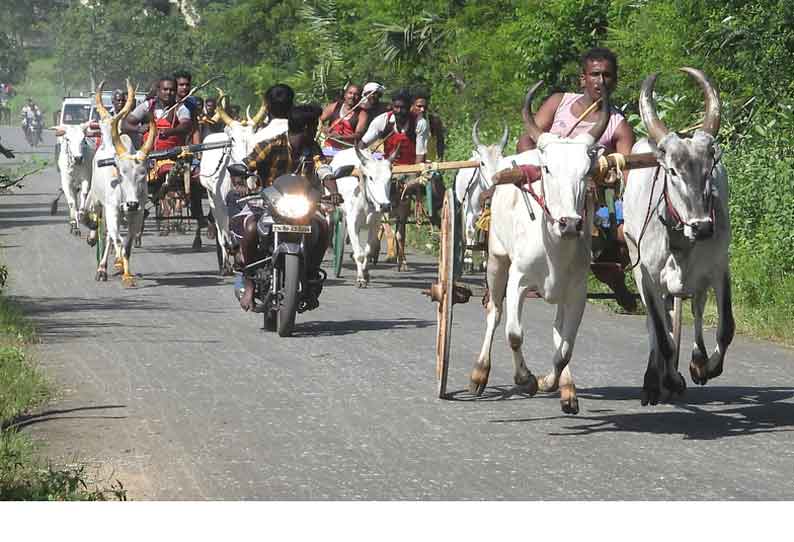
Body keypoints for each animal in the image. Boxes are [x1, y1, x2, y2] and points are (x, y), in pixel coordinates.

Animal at [330, 144, 396, 288]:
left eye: (390, 178)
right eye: (370, 178)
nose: (385, 206)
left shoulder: (375, 225)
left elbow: (367, 251)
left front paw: (366, 273)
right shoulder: (352, 224)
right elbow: (359, 254)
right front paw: (360, 279)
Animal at [468, 82, 604, 416]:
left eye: (587, 171)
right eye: (547, 169)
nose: (569, 224)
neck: (554, 247)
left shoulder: (577, 291)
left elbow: (565, 348)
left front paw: (550, 382)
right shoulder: (518, 280)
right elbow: (514, 334)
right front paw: (526, 379)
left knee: (558, 330)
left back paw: (566, 388)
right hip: (496, 261)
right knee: (495, 312)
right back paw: (479, 373)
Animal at [620, 68, 732, 406]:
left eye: (709, 170)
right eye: (672, 171)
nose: (702, 227)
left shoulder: (719, 268)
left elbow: (725, 327)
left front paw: (704, 367)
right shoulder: (647, 277)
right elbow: (662, 334)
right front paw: (667, 378)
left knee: (694, 308)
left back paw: (695, 361)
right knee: (658, 327)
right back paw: (655, 380)